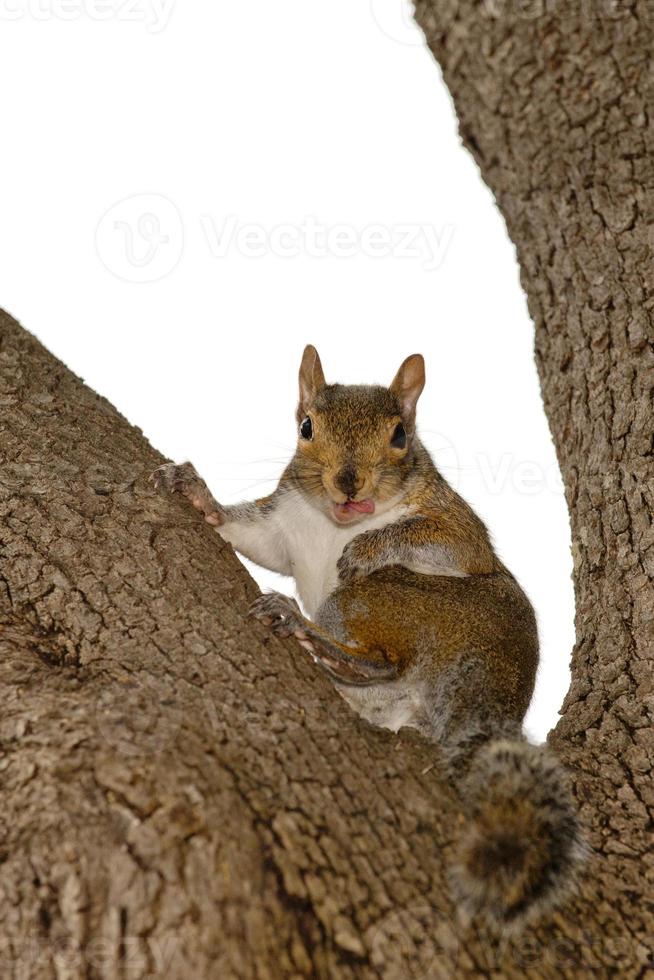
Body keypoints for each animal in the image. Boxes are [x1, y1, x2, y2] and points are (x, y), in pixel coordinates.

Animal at [155, 348, 588, 932]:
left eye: (400, 436)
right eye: (306, 426)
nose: (349, 482)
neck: (334, 523)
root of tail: (492, 691)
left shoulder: (457, 530)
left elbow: (439, 539)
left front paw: (365, 546)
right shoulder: (282, 525)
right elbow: (250, 535)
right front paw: (199, 496)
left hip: (384, 599)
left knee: (385, 657)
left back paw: (302, 625)